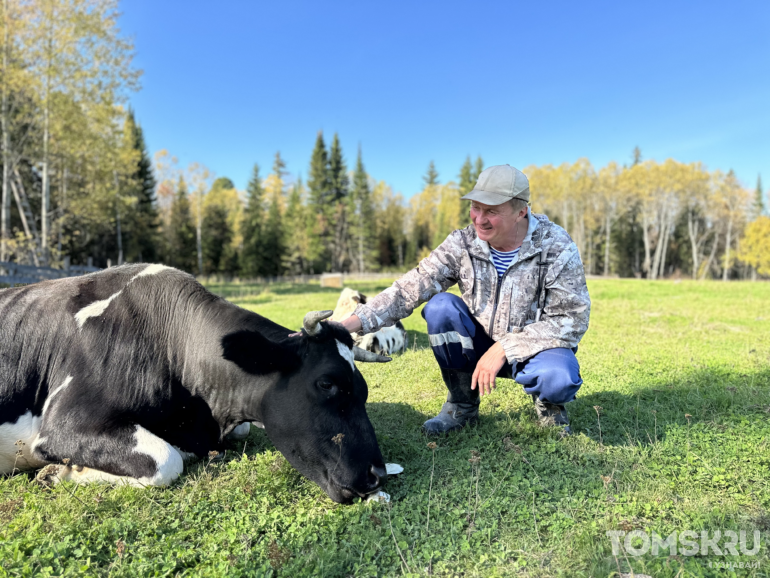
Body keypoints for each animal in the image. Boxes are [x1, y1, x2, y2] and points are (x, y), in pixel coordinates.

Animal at [0, 264, 390, 502]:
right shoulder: (63, 424)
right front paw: (58, 471)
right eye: (326, 384)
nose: (377, 474)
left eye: (364, 392)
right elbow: (166, 460)